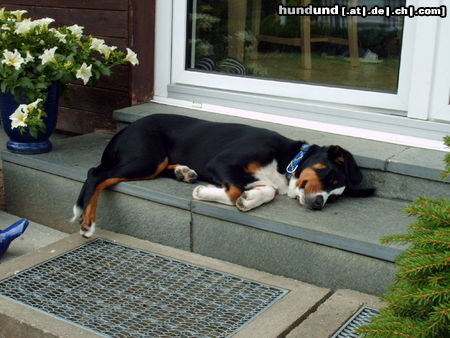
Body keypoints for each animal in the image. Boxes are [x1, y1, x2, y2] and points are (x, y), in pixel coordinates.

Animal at [72, 113, 374, 238]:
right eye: (330, 175)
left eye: (335, 198)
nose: (320, 203)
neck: (285, 162)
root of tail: (126, 128)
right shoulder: (222, 163)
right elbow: (233, 190)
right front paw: (206, 192)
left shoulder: (256, 178)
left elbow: (265, 191)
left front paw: (251, 200)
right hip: (146, 159)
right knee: (96, 173)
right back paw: (87, 222)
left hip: (152, 163)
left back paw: (184, 172)